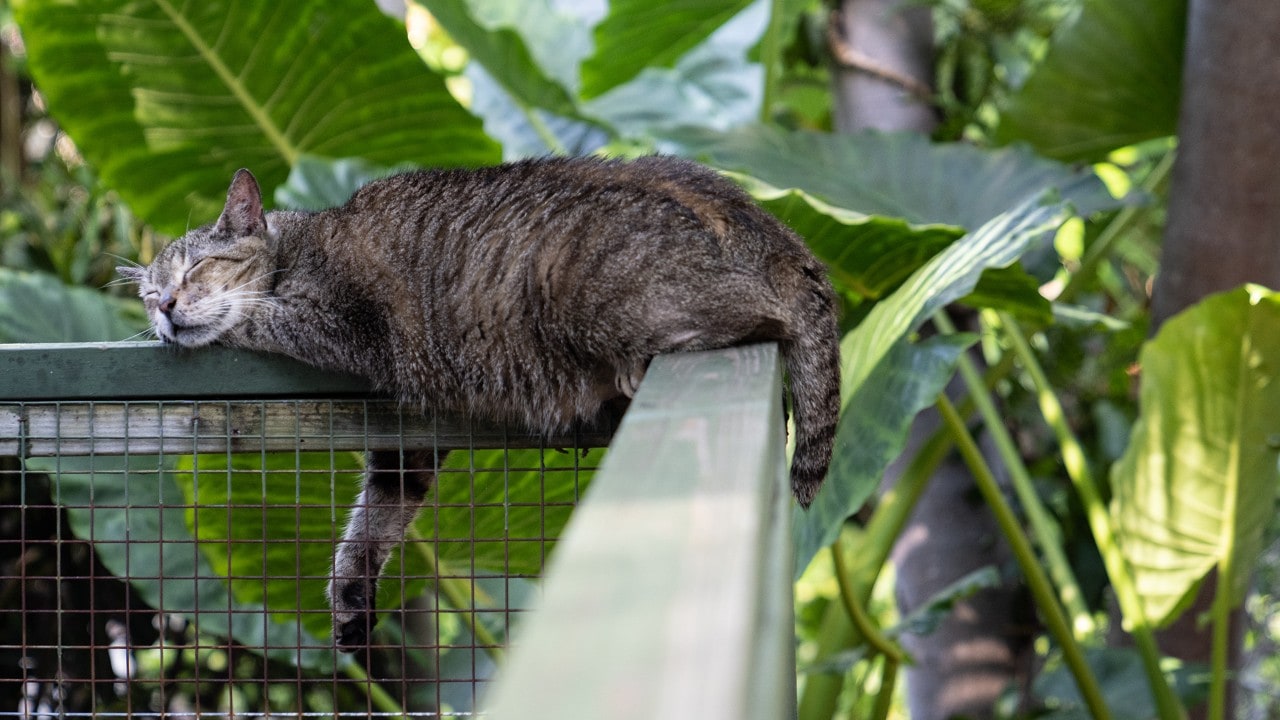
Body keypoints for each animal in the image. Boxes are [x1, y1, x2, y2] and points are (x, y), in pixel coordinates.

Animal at [117, 154, 839, 648]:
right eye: (149, 293)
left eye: (194, 270)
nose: (166, 309)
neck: (299, 244)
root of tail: (778, 237)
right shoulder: (406, 447)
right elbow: (372, 524)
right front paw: (350, 588)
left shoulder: (345, 324)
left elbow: (254, 316)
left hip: (583, 285)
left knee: (761, 321)